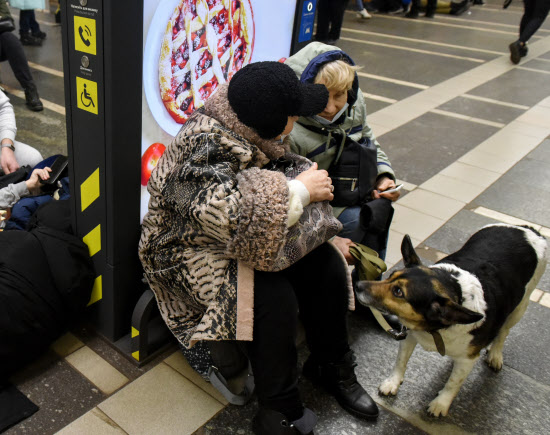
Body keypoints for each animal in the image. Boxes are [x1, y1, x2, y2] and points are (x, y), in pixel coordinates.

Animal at [356, 225, 548, 418]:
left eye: (398, 292)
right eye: (391, 275)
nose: (357, 285)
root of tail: (527, 228)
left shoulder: (467, 359)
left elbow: (453, 383)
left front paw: (441, 403)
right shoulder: (410, 336)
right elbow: (400, 361)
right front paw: (393, 382)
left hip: (520, 307)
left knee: (503, 332)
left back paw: (495, 354)